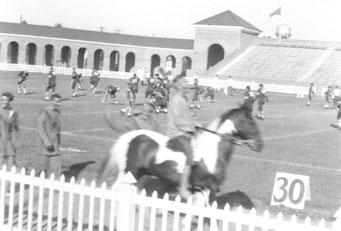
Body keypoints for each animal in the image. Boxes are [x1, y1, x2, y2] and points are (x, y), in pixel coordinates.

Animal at [97, 104, 262, 198]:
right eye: (251, 121)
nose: (260, 145)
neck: (212, 153)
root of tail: (128, 136)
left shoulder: (204, 189)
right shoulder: (207, 187)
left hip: (138, 174)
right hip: (127, 172)